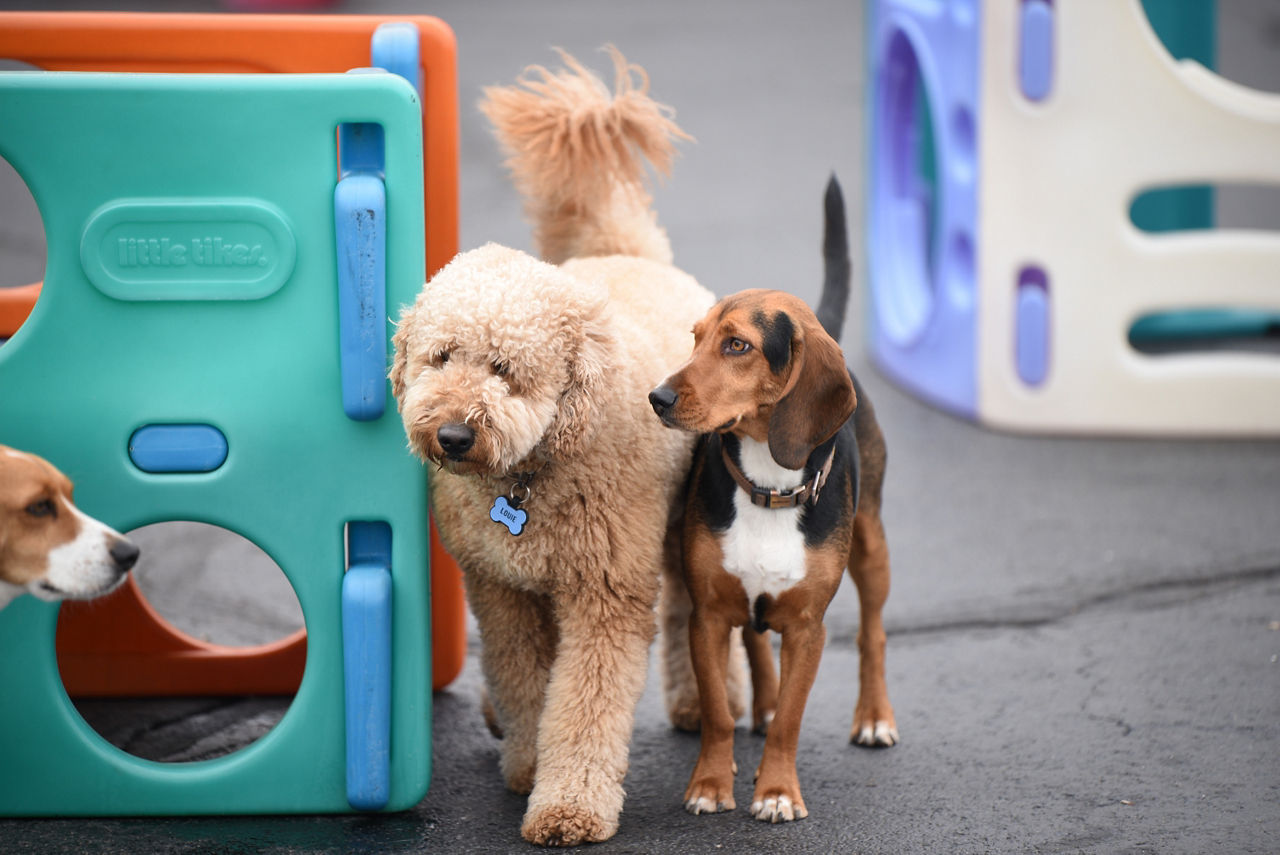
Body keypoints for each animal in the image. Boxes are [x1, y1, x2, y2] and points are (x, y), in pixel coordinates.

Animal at [394, 50, 721, 844]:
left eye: (507, 371)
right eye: (439, 357)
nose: (452, 433)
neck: (530, 476)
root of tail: (627, 251)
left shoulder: (604, 592)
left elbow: (583, 706)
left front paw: (567, 804)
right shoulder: (502, 589)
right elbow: (523, 680)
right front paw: (523, 762)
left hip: (679, 519)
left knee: (684, 610)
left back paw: (697, 703)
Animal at [650, 176, 890, 824]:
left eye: (738, 345)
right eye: (696, 339)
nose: (657, 397)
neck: (766, 489)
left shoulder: (808, 629)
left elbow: (790, 719)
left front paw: (778, 791)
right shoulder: (707, 617)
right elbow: (716, 712)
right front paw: (711, 783)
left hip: (872, 547)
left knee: (874, 633)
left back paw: (874, 717)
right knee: (757, 646)